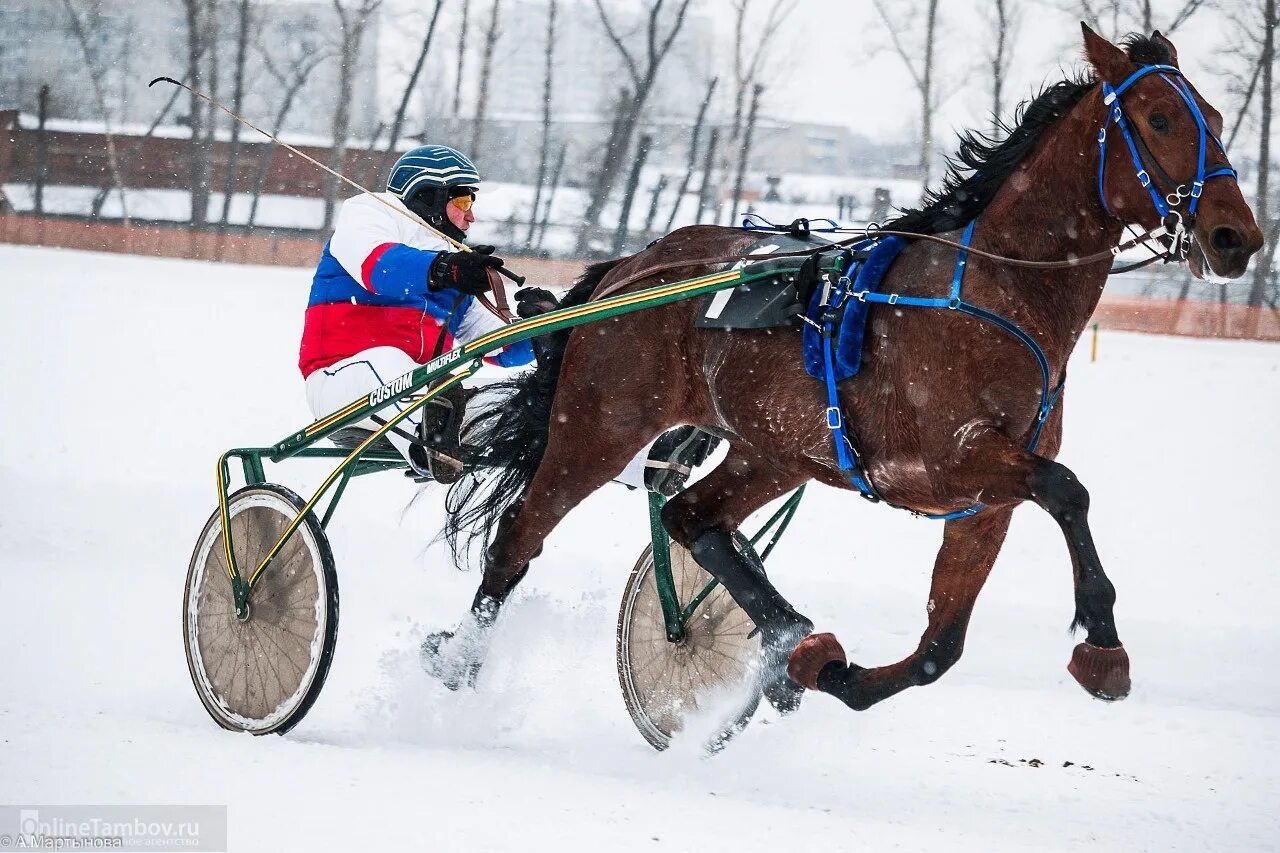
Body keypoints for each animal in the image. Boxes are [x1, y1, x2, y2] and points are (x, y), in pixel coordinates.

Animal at [424, 26, 1264, 712]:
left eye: (1218, 120)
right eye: (1160, 118)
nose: (1236, 237)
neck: (997, 289)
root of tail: (633, 266)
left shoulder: (984, 501)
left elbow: (938, 648)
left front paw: (831, 670)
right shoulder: (953, 458)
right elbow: (1068, 489)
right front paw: (1102, 643)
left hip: (775, 449)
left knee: (691, 517)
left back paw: (794, 636)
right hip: (599, 426)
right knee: (518, 538)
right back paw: (458, 663)